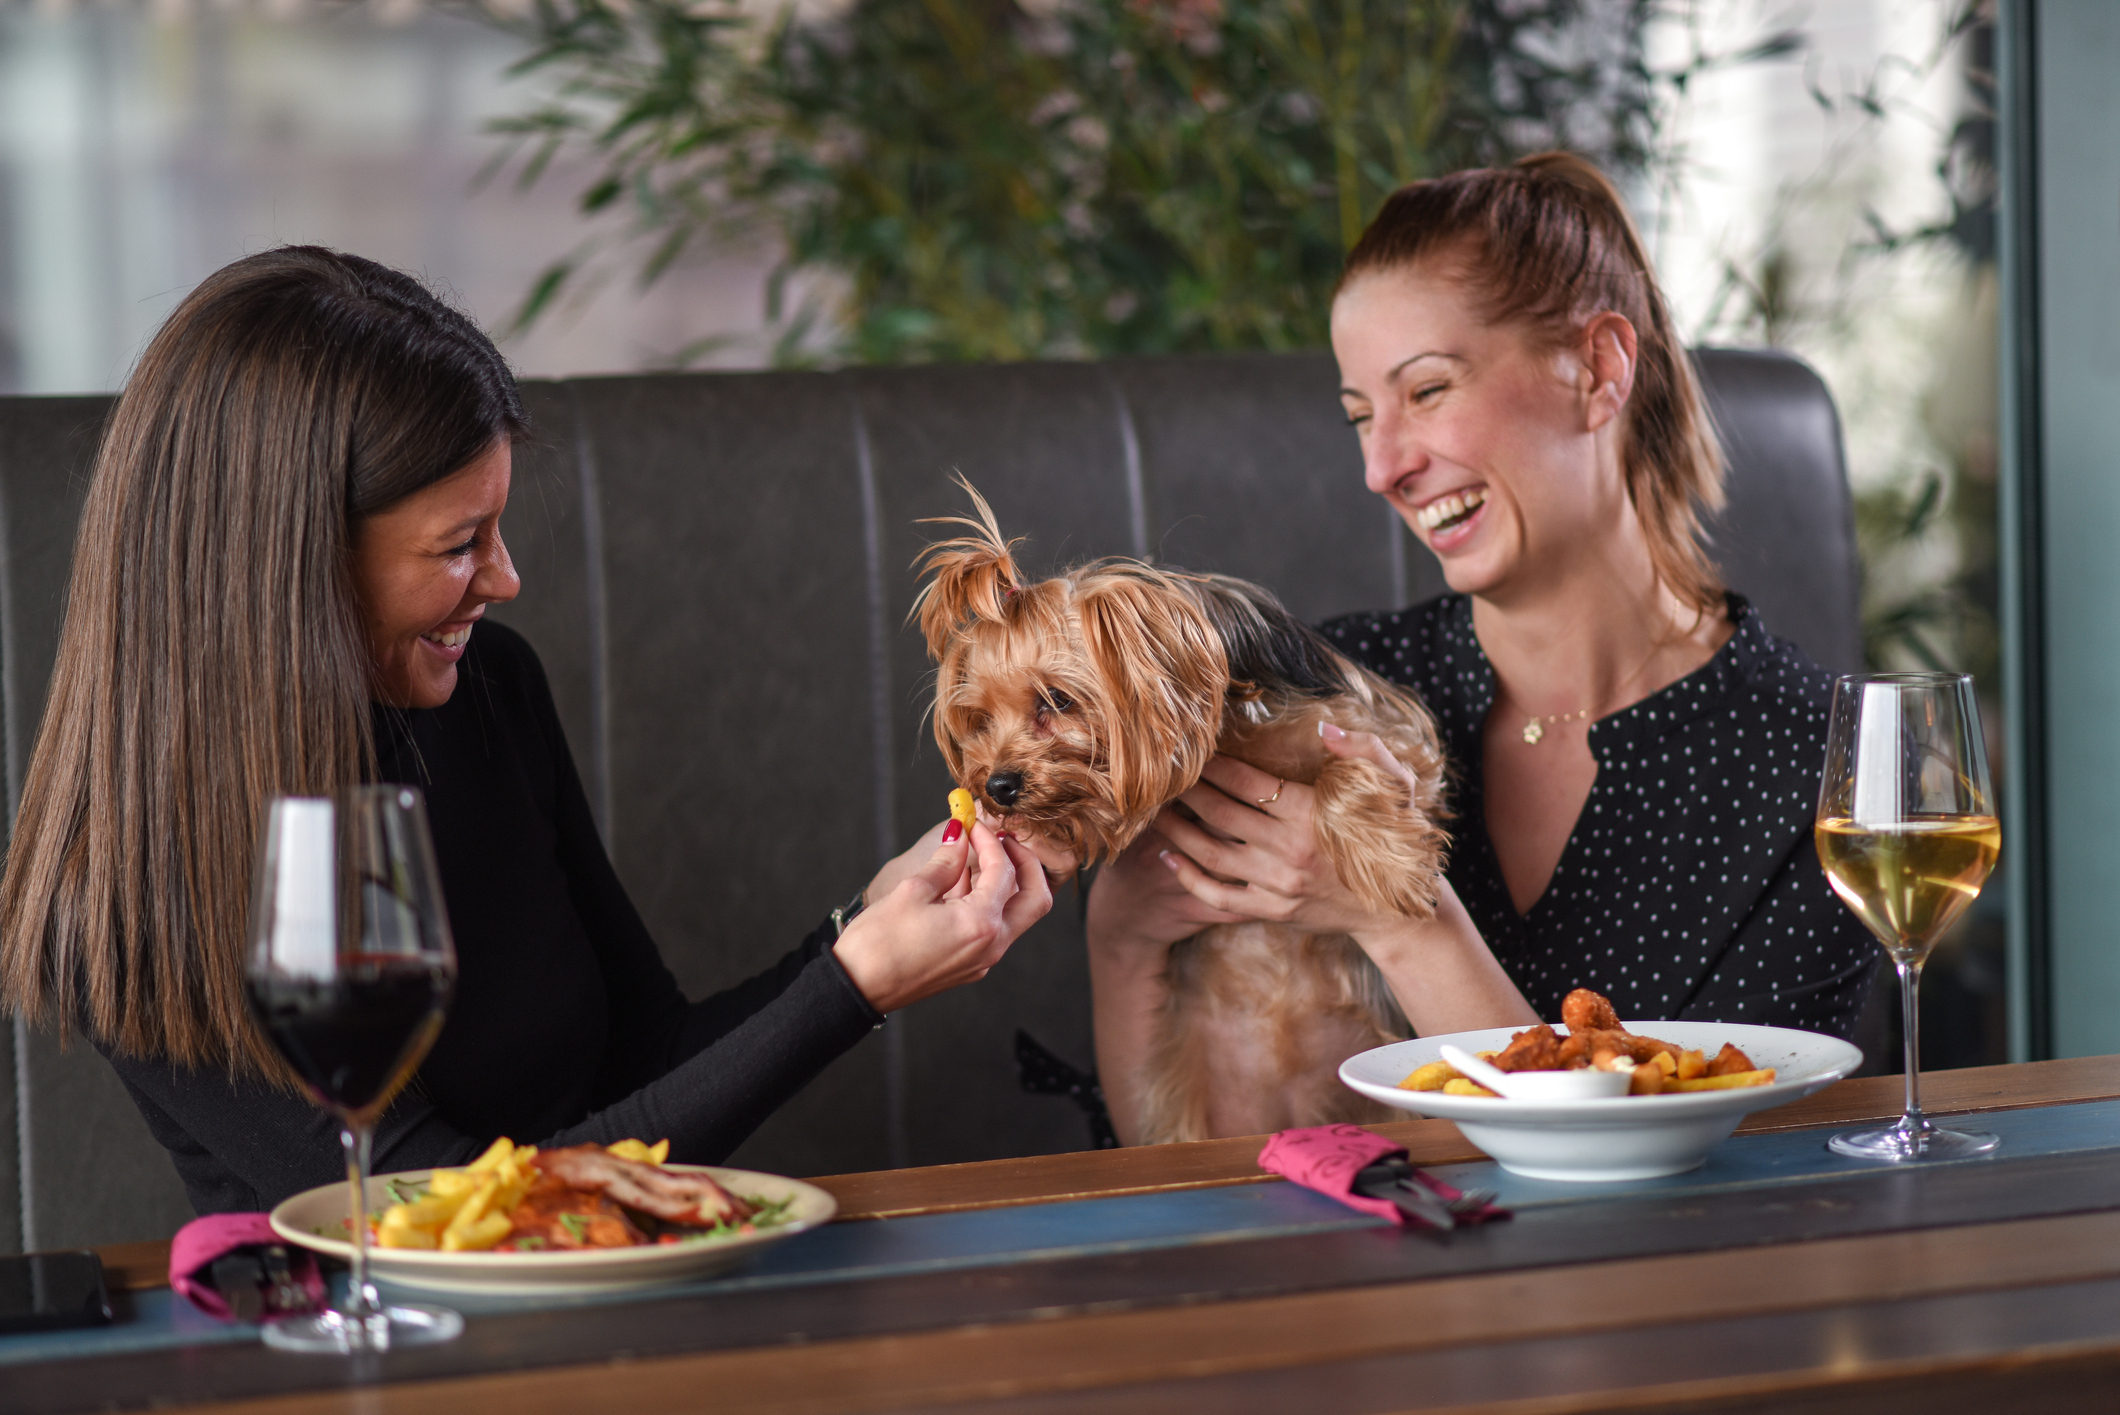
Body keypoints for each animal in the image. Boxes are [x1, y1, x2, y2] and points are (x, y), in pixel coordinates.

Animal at [920, 481, 1450, 1145]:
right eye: (980, 719)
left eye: (1056, 700)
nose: (997, 786)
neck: (1226, 727)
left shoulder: (1382, 726)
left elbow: (1352, 770)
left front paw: (1394, 868)